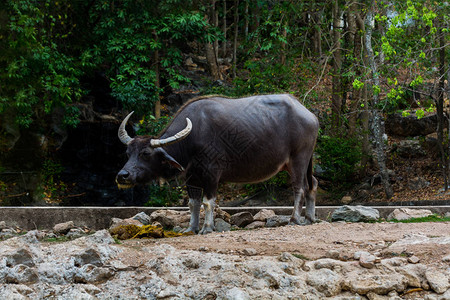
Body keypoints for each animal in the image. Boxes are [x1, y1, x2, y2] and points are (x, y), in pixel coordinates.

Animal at [117, 94, 320, 234]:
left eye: (145, 153)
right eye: (128, 153)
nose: (122, 176)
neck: (193, 137)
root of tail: (310, 116)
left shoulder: (211, 174)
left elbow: (208, 202)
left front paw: (207, 227)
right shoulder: (191, 177)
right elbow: (193, 203)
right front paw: (191, 228)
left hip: (299, 159)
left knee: (299, 188)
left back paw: (295, 219)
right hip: (302, 162)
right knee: (313, 184)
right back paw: (310, 218)